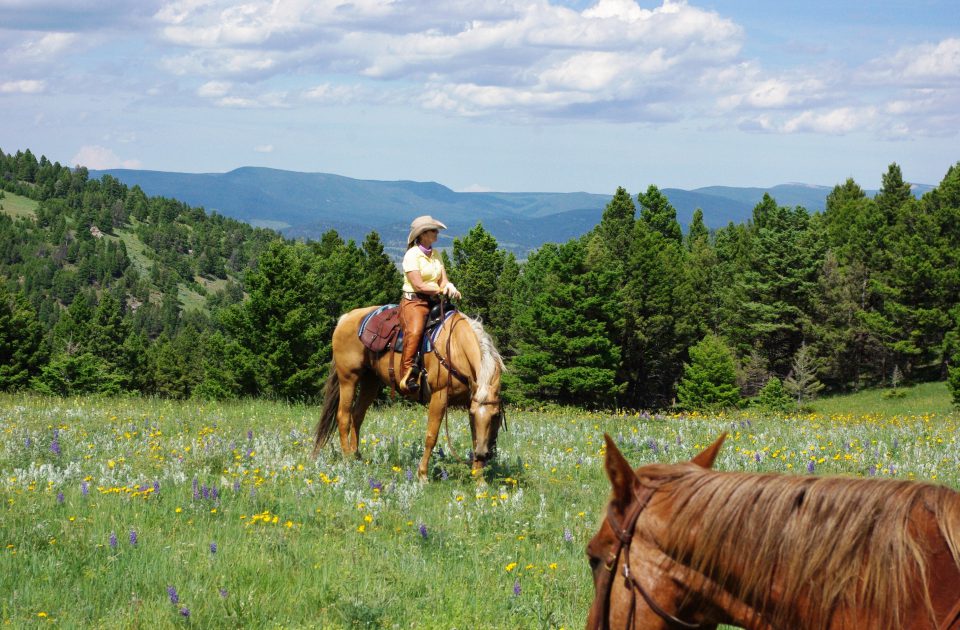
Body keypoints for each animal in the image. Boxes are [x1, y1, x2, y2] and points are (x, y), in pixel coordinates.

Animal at [312, 308, 506, 482]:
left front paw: (479, 480)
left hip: (370, 381)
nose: (483, 454)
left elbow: (475, 438)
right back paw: (347, 460)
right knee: (343, 416)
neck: (455, 346)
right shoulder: (439, 396)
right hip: (348, 378)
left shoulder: (470, 402)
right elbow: (431, 436)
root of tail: (345, 318)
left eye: (496, 415)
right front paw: (422, 475)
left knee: (357, 415)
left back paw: (356, 456)